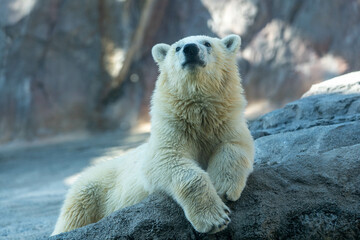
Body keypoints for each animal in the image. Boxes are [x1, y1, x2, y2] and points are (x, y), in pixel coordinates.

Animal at [51, 34, 253, 235]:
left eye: (207, 43)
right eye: (177, 48)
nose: (190, 49)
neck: (198, 114)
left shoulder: (225, 123)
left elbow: (236, 146)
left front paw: (223, 188)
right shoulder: (172, 129)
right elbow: (168, 160)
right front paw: (215, 219)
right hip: (91, 189)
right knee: (75, 214)